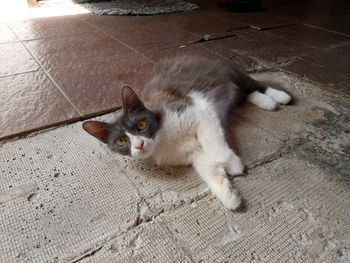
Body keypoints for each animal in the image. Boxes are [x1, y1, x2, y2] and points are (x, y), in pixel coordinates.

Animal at [83, 56, 292, 212]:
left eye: (141, 124)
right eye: (120, 141)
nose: (139, 145)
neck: (162, 139)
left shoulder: (197, 111)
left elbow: (213, 143)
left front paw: (232, 163)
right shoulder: (192, 153)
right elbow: (207, 167)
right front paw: (228, 195)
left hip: (228, 72)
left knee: (253, 85)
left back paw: (279, 97)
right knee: (245, 94)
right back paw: (267, 102)